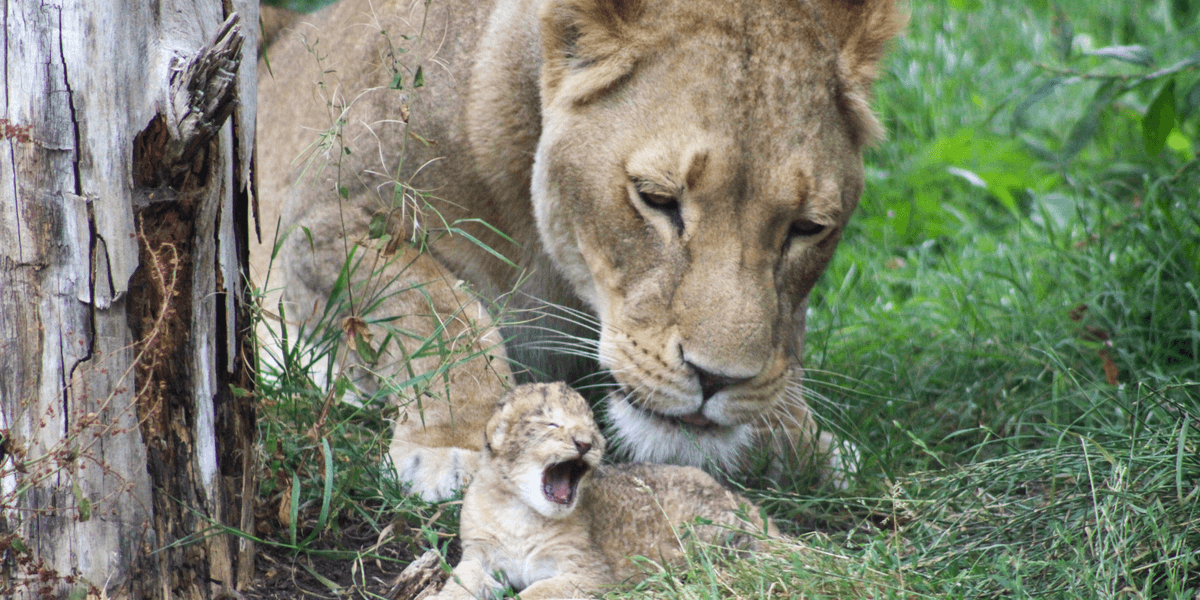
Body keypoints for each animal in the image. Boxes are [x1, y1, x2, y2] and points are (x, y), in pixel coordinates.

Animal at [254, 0, 904, 500]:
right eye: (656, 198)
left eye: (807, 227)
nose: (716, 379)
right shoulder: (322, 227)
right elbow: (435, 308)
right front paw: (459, 440)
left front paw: (802, 436)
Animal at [430, 383, 777, 600]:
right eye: (551, 424)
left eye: (593, 428)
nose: (585, 443)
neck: (519, 511)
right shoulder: (479, 555)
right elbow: (459, 582)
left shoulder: (590, 574)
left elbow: (537, 592)